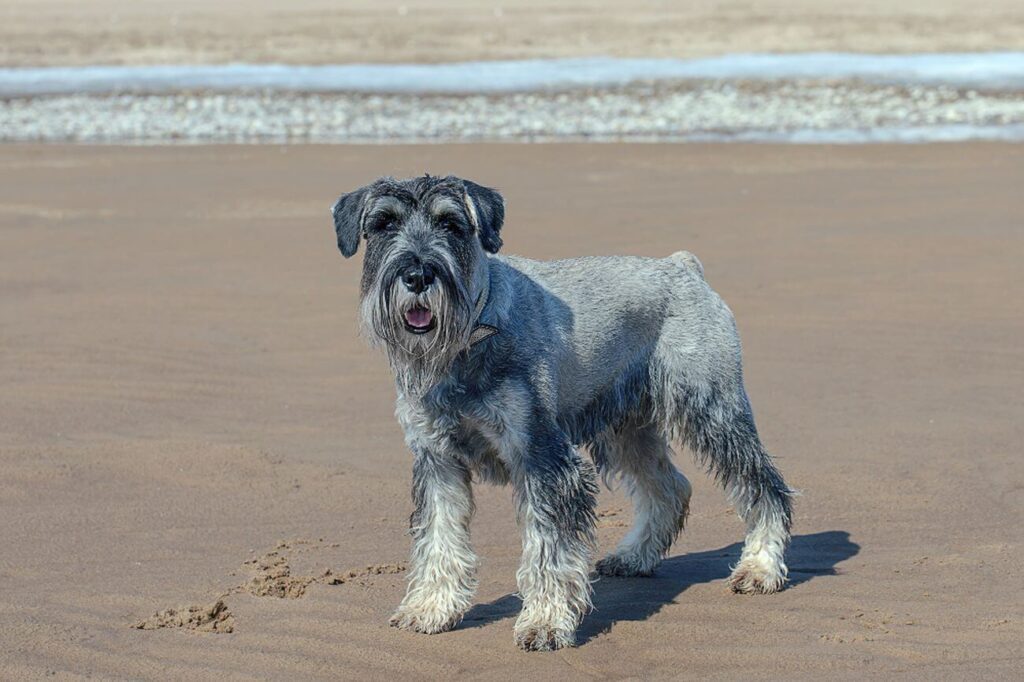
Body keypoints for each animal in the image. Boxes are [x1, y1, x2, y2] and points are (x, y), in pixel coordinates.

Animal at [331, 174, 794, 647]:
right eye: (384, 223)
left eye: (452, 224)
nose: (418, 274)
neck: (469, 337)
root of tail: (683, 266)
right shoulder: (438, 460)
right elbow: (439, 537)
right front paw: (430, 608)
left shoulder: (542, 457)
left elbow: (548, 547)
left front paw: (545, 621)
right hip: (624, 427)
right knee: (669, 487)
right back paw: (634, 556)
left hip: (712, 410)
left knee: (763, 485)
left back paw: (760, 567)